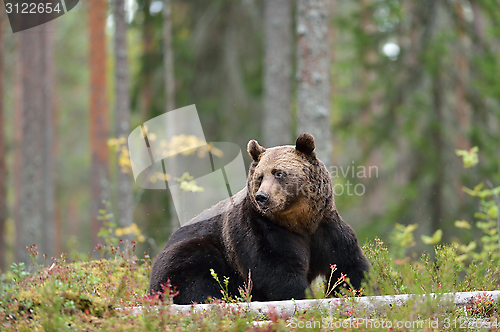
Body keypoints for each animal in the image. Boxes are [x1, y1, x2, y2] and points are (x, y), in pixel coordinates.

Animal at [148, 132, 368, 304]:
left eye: (279, 173)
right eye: (260, 177)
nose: (262, 197)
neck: (299, 222)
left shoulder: (325, 228)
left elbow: (348, 265)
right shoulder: (261, 230)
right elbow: (276, 269)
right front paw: (303, 295)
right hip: (190, 252)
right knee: (195, 271)